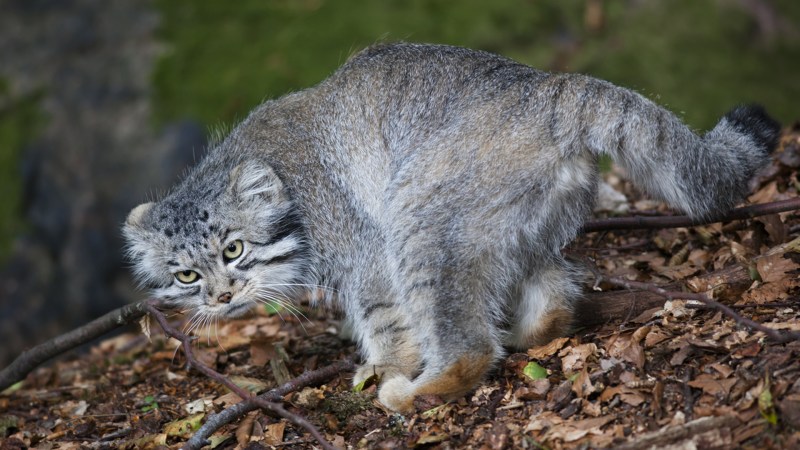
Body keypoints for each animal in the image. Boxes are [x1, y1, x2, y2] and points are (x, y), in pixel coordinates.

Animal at [125, 44, 780, 414]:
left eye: (234, 249)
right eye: (186, 276)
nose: (221, 298)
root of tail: (550, 86)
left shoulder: (366, 255)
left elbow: (384, 318)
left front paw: (385, 365)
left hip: (418, 217)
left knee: (468, 346)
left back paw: (417, 392)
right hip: (514, 220)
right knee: (552, 293)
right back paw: (530, 328)